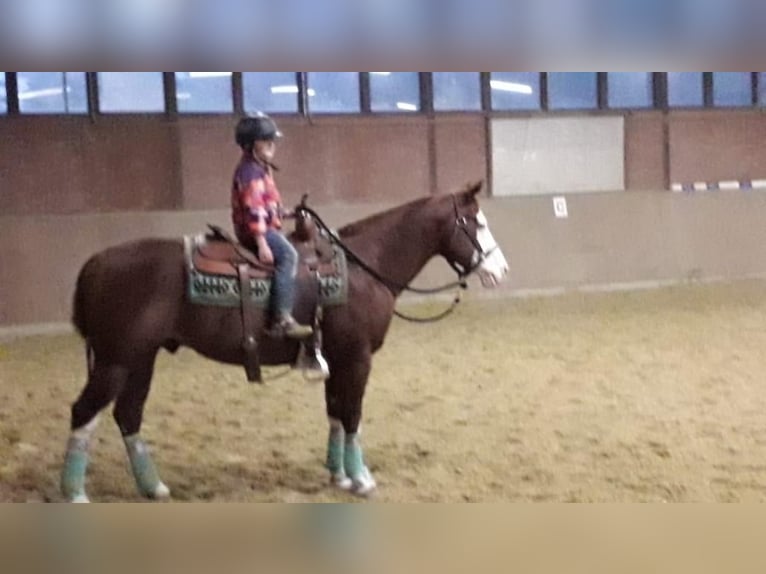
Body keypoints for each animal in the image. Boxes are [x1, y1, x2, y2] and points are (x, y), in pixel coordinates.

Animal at [60, 182, 510, 502]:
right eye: (478, 222)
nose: (501, 271)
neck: (365, 267)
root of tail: (95, 263)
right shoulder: (357, 358)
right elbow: (352, 416)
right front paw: (361, 479)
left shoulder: (335, 358)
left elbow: (334, 412)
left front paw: (338, 474)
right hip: (116, 360)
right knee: (84, 412)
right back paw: (75, 494)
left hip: (141, 359)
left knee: (128, 415)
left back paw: (153, 487)